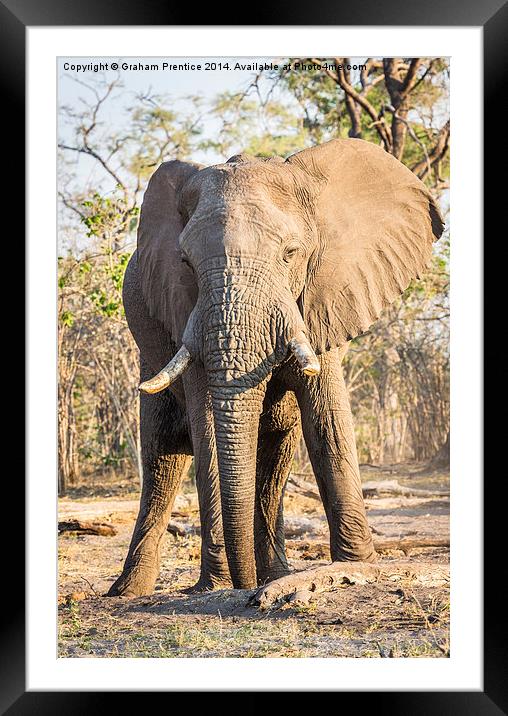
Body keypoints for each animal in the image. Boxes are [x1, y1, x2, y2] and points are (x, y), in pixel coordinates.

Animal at [108, 137, 444, 596]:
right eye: (186, 262)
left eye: (290, 254)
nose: (242, 585)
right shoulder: (184, 310)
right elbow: (206, 429)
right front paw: (216, 587)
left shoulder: (320, 299)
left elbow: (327, 422)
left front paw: (355, 566)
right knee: (163, 460)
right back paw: (131, 591)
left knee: (275, 454)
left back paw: (274, 575)